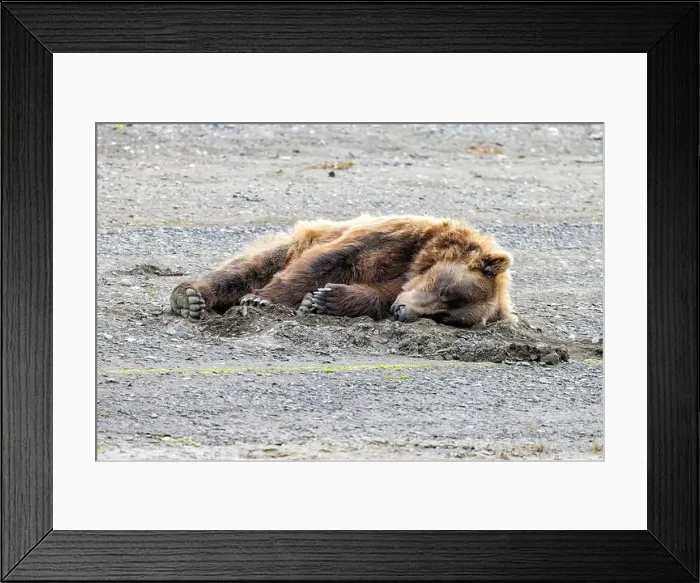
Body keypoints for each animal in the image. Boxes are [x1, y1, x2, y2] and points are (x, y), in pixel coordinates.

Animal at [170, 214, 517, 328]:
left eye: (444, 318)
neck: (418, 261)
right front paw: (262, 300)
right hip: (293, 242)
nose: (403, 312)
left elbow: (374, 295)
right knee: (248, 268)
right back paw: (189, 297)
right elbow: (328, 261)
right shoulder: (395, 239)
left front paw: (322, 300)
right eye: (444, 290)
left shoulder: (397, 283)